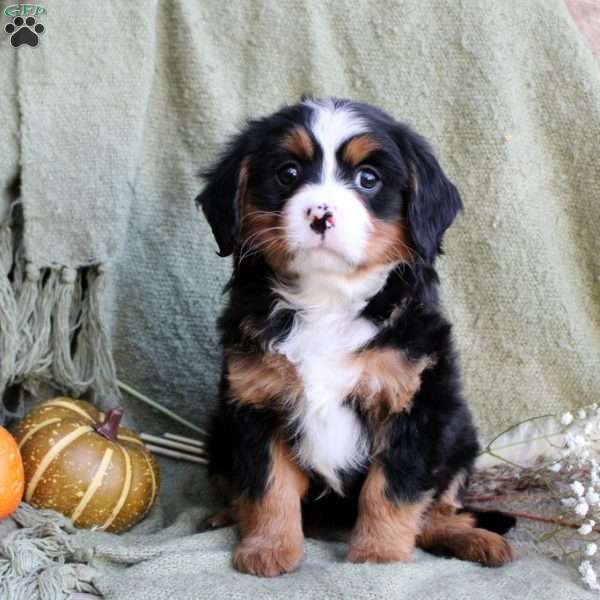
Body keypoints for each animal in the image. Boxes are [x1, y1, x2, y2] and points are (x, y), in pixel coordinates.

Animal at [198, 97, 516, 576]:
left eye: (368, 179)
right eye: (288, 173)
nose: (321, 213)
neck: (327, 298)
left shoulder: (412, 404)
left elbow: (392, 490)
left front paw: (378, 556)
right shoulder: (255, 401)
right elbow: (268, 485)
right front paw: (268, 549)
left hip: (459, 436)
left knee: (438, 510)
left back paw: (474, 538)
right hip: (218, 431)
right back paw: (225, 514)